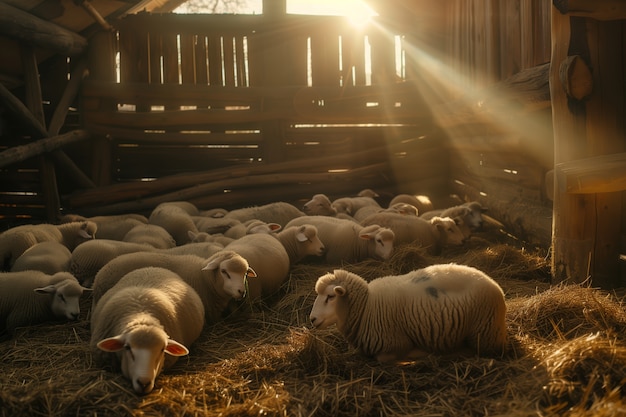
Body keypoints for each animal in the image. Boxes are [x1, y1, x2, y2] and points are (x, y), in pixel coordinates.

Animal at [308, 264, 508, 360]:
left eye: (330, 297)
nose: (312, 319)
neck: (367, 308)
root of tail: (495, 284)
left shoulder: (393, 345)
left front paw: (416, 355)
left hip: (485, 333)